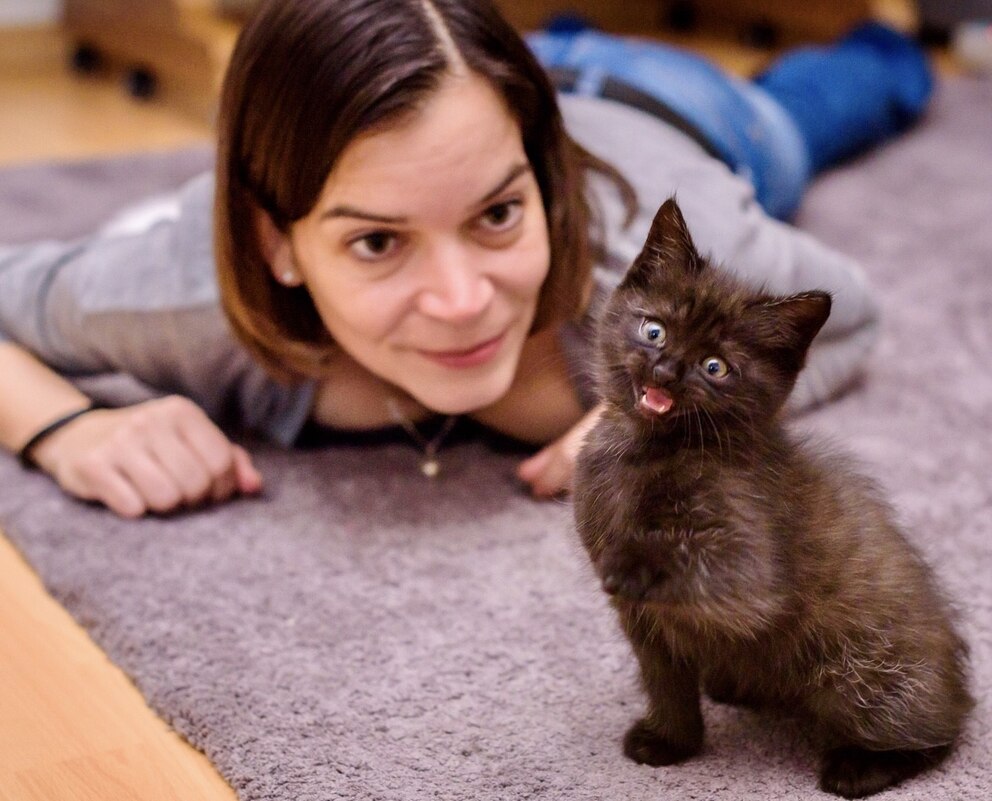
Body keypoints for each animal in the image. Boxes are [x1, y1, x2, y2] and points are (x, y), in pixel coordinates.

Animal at [568, 198, 972, 792]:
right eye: (654, 330)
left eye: (715, 367)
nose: (665, 370)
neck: (645, 451)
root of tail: (960, 684)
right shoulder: (645, 623)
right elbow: (665, 681)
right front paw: (671, 741)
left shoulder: (752, 560)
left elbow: (711, 563)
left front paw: (638, 555)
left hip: (855, 674)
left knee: (935, 735)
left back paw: (859, 767)